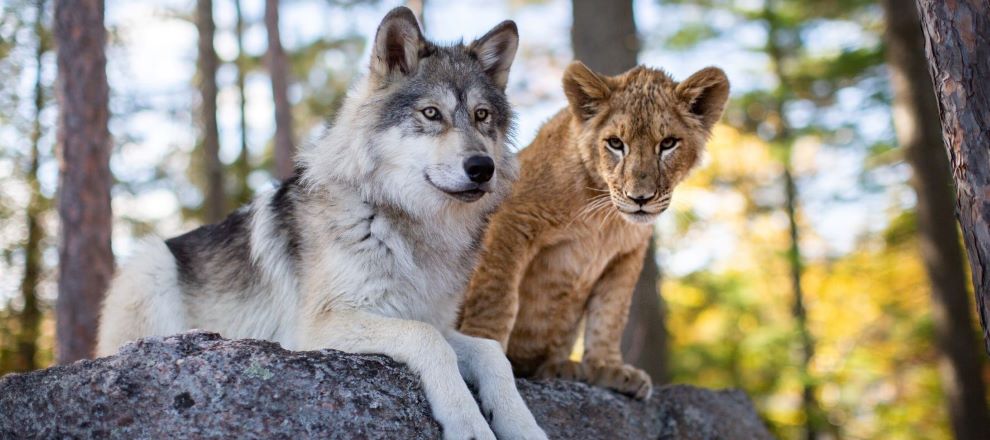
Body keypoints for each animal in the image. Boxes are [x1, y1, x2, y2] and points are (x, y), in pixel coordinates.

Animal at [99, 7, 552, 440]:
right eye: (431, 113)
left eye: (481, 116)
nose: (482, 167)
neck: (406, 224)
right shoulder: (317, 328)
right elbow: (430, 341)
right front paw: (469, 424)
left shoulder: (428, 316)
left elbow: (491, 352)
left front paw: (522, 425)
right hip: (151, 262)